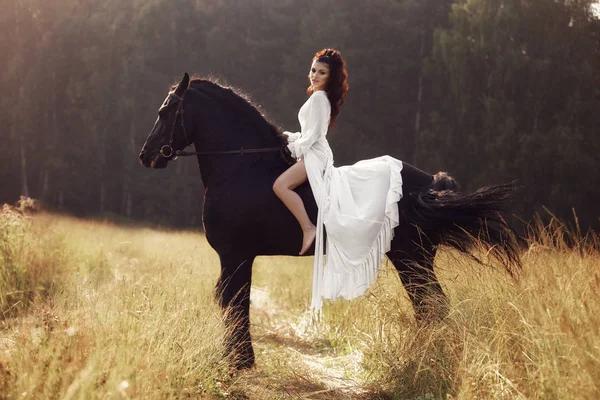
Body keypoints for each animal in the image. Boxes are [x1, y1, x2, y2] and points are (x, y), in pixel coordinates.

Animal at [138, 74, 516, 368]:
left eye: (164, 112)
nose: (146, 155)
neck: (244, 168)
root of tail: (429, 186)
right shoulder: (237, 257)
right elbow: (234, 302)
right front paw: (238, 360)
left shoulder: (235, 255)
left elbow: (235, 302)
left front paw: (238, 362)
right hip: (416, 259)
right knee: (432, 307)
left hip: (412, 258)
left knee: (432, 306)